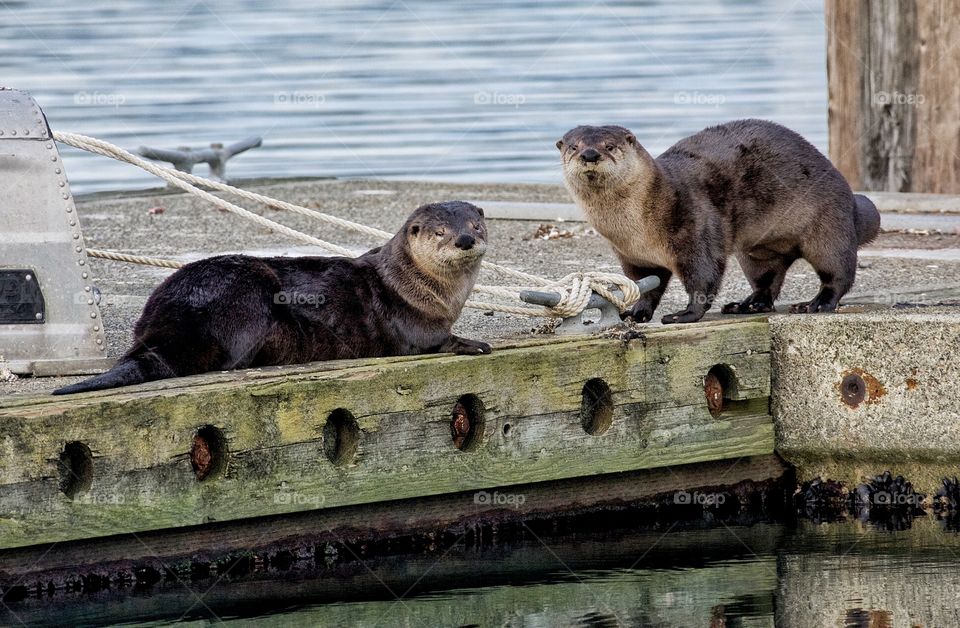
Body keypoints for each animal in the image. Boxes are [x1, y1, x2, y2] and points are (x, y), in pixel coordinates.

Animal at [53, 201, 492, 394]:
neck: (415, 284)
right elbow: (431, 339)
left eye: (476, 224)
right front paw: (474, 343)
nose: (464, 239)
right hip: (246, 290)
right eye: (439, 232)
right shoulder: (411, 319)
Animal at [560, 118, 880, 324]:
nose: (590, 154)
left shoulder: (694, 228)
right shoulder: (633, 257)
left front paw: (684, 315)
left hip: (828, 225)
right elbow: (645, 286)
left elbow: (703, 278)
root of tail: (851, 199)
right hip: (757, 253)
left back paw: (815, 304)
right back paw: (745, 305)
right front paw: (636, 313)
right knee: (767, 281)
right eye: (572, 146)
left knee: (837, 273)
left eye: (610, 145)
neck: (636, 228)